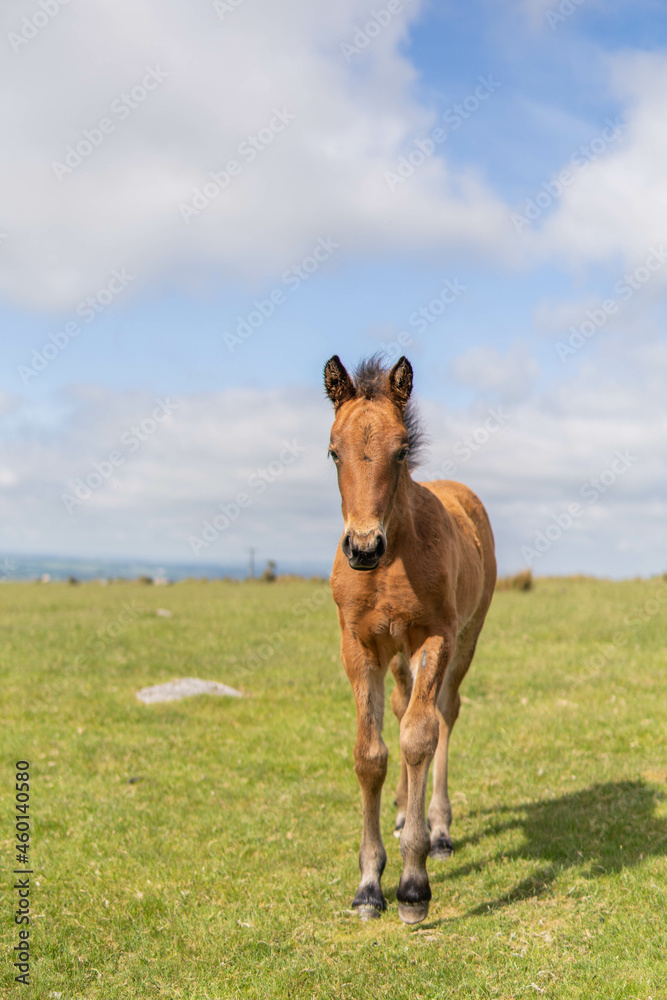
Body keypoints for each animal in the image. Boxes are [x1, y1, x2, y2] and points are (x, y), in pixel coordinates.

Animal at [324, 354, 496, 920]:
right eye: (333, 451)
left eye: (400, 451)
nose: (363, 547)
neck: (393, 558)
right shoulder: (359, 645)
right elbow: (371, 753)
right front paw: (368, 884)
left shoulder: (434, 638)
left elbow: (420, 736)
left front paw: (413, 883)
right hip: (396, 656)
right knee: (401, 708)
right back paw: (403, 812)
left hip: (465, 637)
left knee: (443, 712)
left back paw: (437, 828)